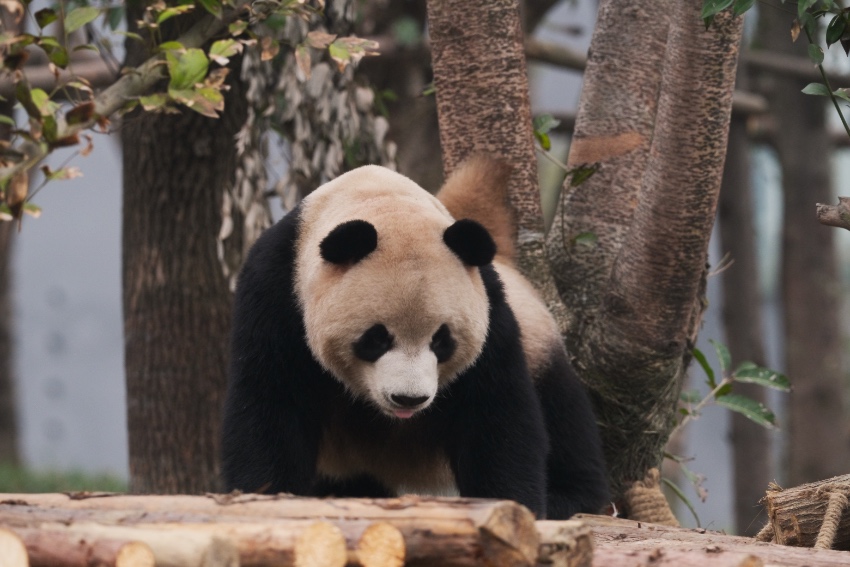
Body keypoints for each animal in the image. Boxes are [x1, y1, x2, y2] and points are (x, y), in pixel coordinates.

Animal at [222, 155, 608, 520]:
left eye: (442, 340)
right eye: (376, 338)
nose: (408, 399)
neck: (381, 200)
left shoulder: (491, 312)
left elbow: (495, 415)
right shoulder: (276, 294)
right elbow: (271, 405)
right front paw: (270, 497)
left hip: (538, 341)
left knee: (563, 413)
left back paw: (567, 496)